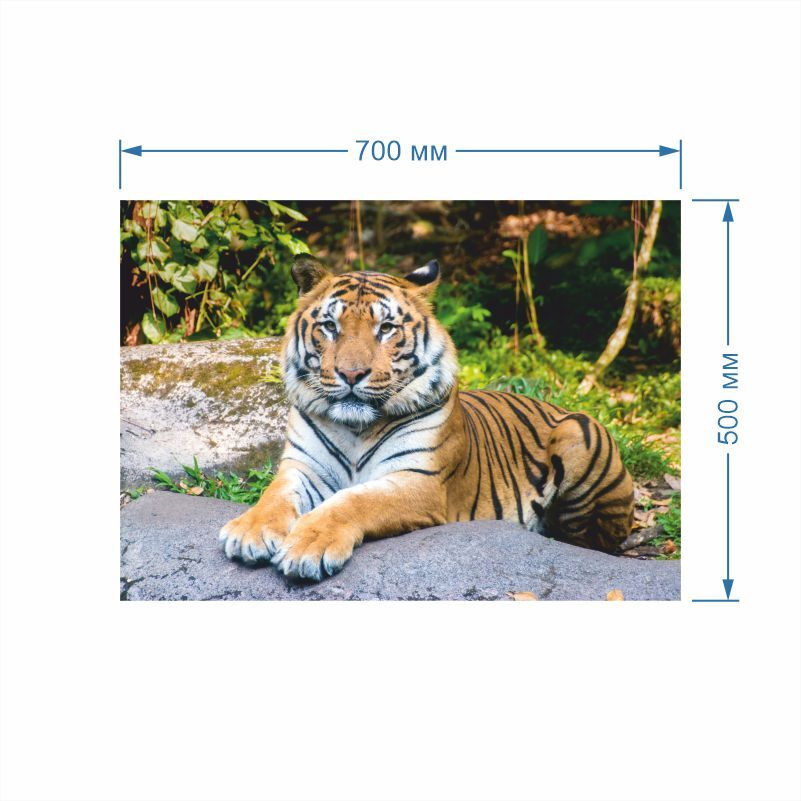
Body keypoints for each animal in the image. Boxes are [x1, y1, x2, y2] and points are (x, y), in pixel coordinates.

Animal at [219, 254, 634, 581]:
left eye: (385, 328)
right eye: (330, 327)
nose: (351, 374)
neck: (356, 427)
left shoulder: (419, 481)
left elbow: (353, 502)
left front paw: (308, 545)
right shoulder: (303, 467)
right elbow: (274, 497)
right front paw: (249, 532)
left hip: (579, 434)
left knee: (596, 539)